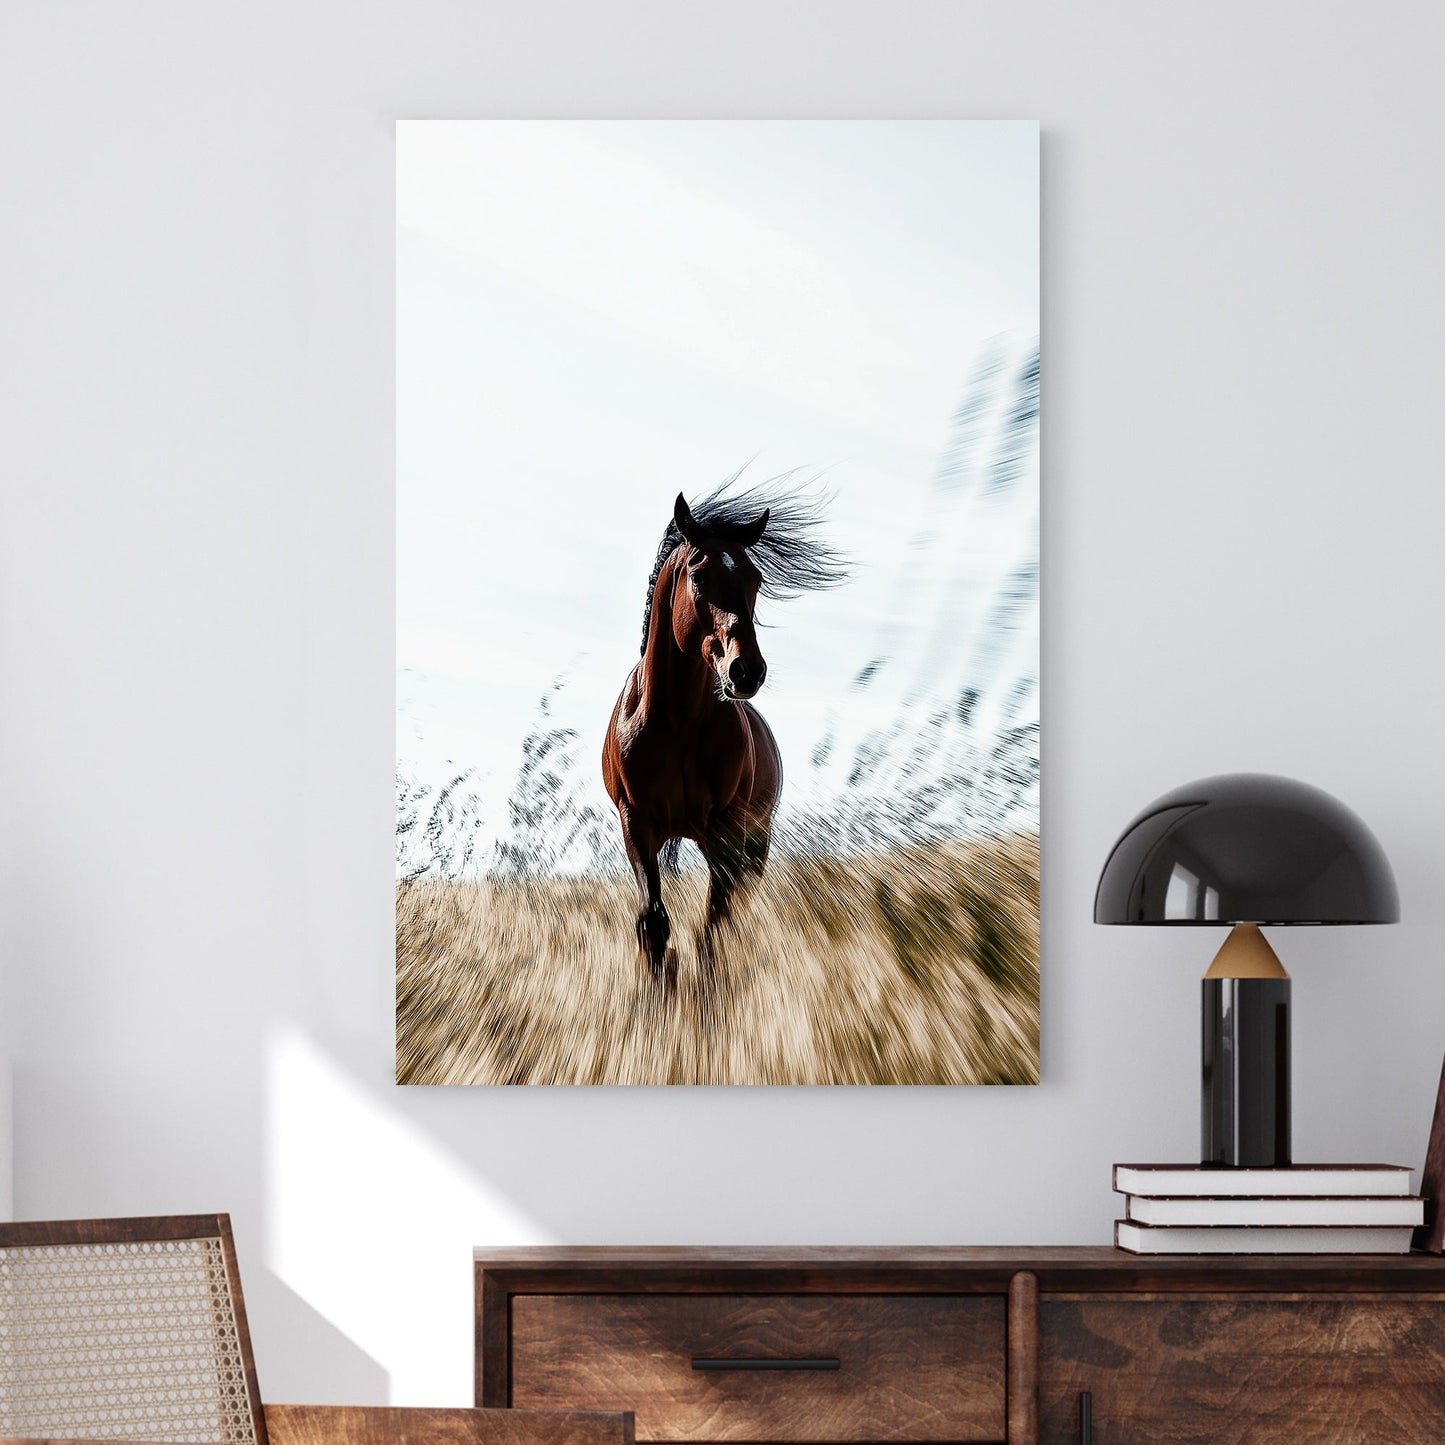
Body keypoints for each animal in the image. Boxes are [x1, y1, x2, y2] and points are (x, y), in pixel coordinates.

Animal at [601, 482, 843, 982]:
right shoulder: (637, 824)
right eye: (699, 576)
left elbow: (713, 927)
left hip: (752, 840)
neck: (674, 722)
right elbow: (653, 922)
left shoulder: (725, 832)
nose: (746, 671)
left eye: (755, 579)